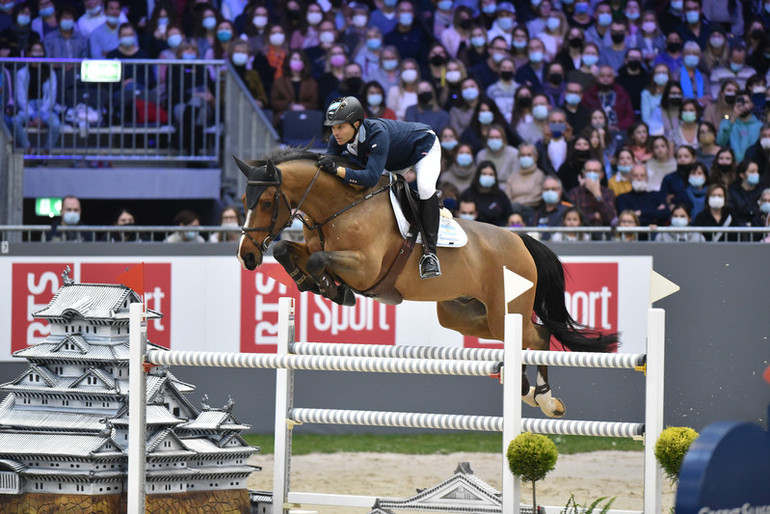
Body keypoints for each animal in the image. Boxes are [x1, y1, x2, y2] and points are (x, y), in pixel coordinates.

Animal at [234, 147, 616, 416]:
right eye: (243, 200)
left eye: (265, 202)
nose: (247, 257)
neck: (341, 207)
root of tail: (520, 240)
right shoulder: (315, 247)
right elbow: (286, 248)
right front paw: (310, 282)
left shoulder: (366, 267)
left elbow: (319, 261)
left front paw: (336, 291)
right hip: (464, 314)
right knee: (522, 336)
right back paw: (525, 391)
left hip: (504, 309)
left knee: (538, 335)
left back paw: (546, 400)